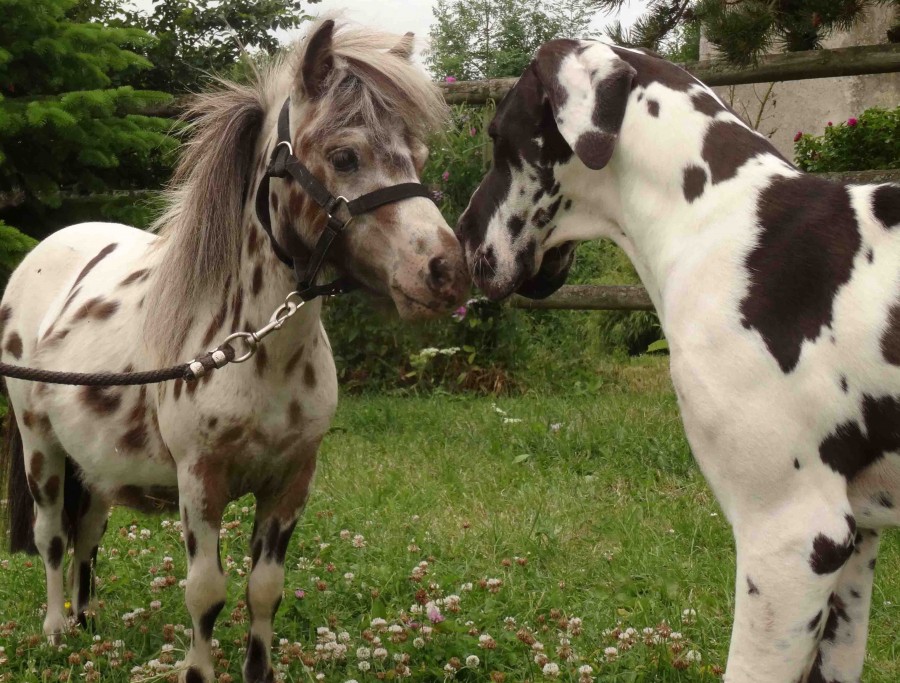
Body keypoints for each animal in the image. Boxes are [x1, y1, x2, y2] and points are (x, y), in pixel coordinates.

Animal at [0, 20, 464, 683]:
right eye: (345, 156)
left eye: (418, 158)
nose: (448, 271)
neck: (259, 356)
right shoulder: (201, 482)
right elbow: (205, 592)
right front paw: (198, 669)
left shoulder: (292, 482)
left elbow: (263, 589)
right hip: (41, 446)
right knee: (53, 539)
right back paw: (57, 630)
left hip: (96, 464)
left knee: (88, 533)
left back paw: (87, 624)